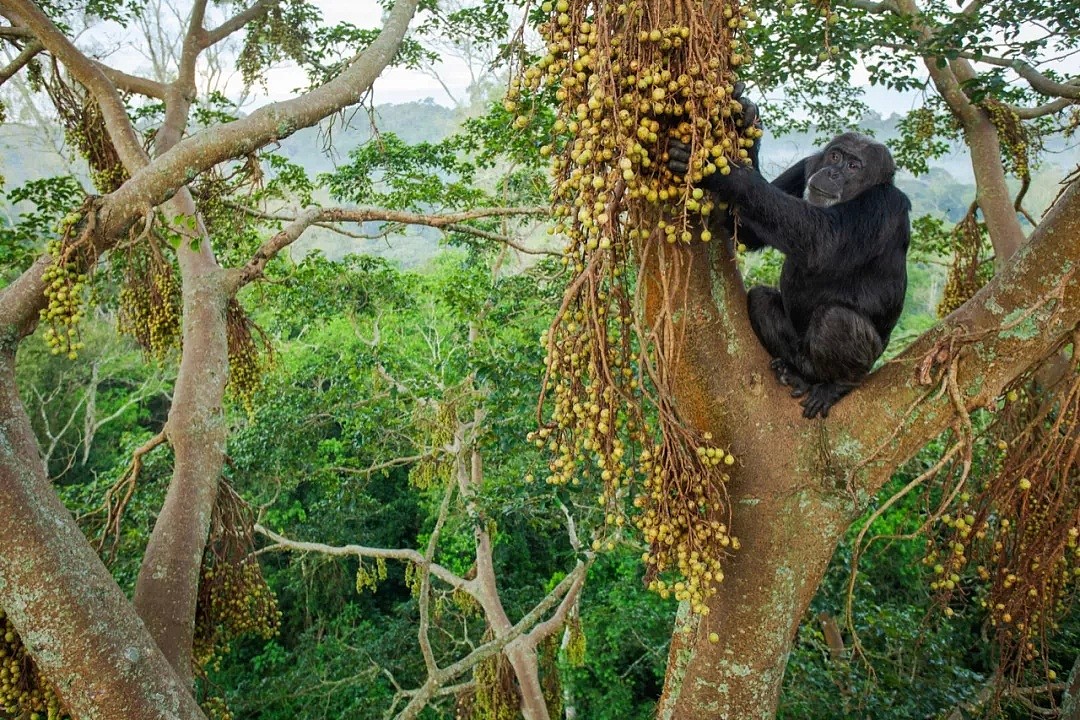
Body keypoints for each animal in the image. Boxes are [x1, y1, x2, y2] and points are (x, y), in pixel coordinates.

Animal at [665, 103, 911, 416]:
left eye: (854, 167)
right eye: (835, 156)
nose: (832, 172)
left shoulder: (883, 204)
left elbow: (823, 241)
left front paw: (725, 172)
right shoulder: (807, 165)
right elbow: (745, 232)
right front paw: (747, 120)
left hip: (864, 362)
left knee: (836, 319)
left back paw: (837, 384)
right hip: (799, 352)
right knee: (761, 299)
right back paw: (794, 374)